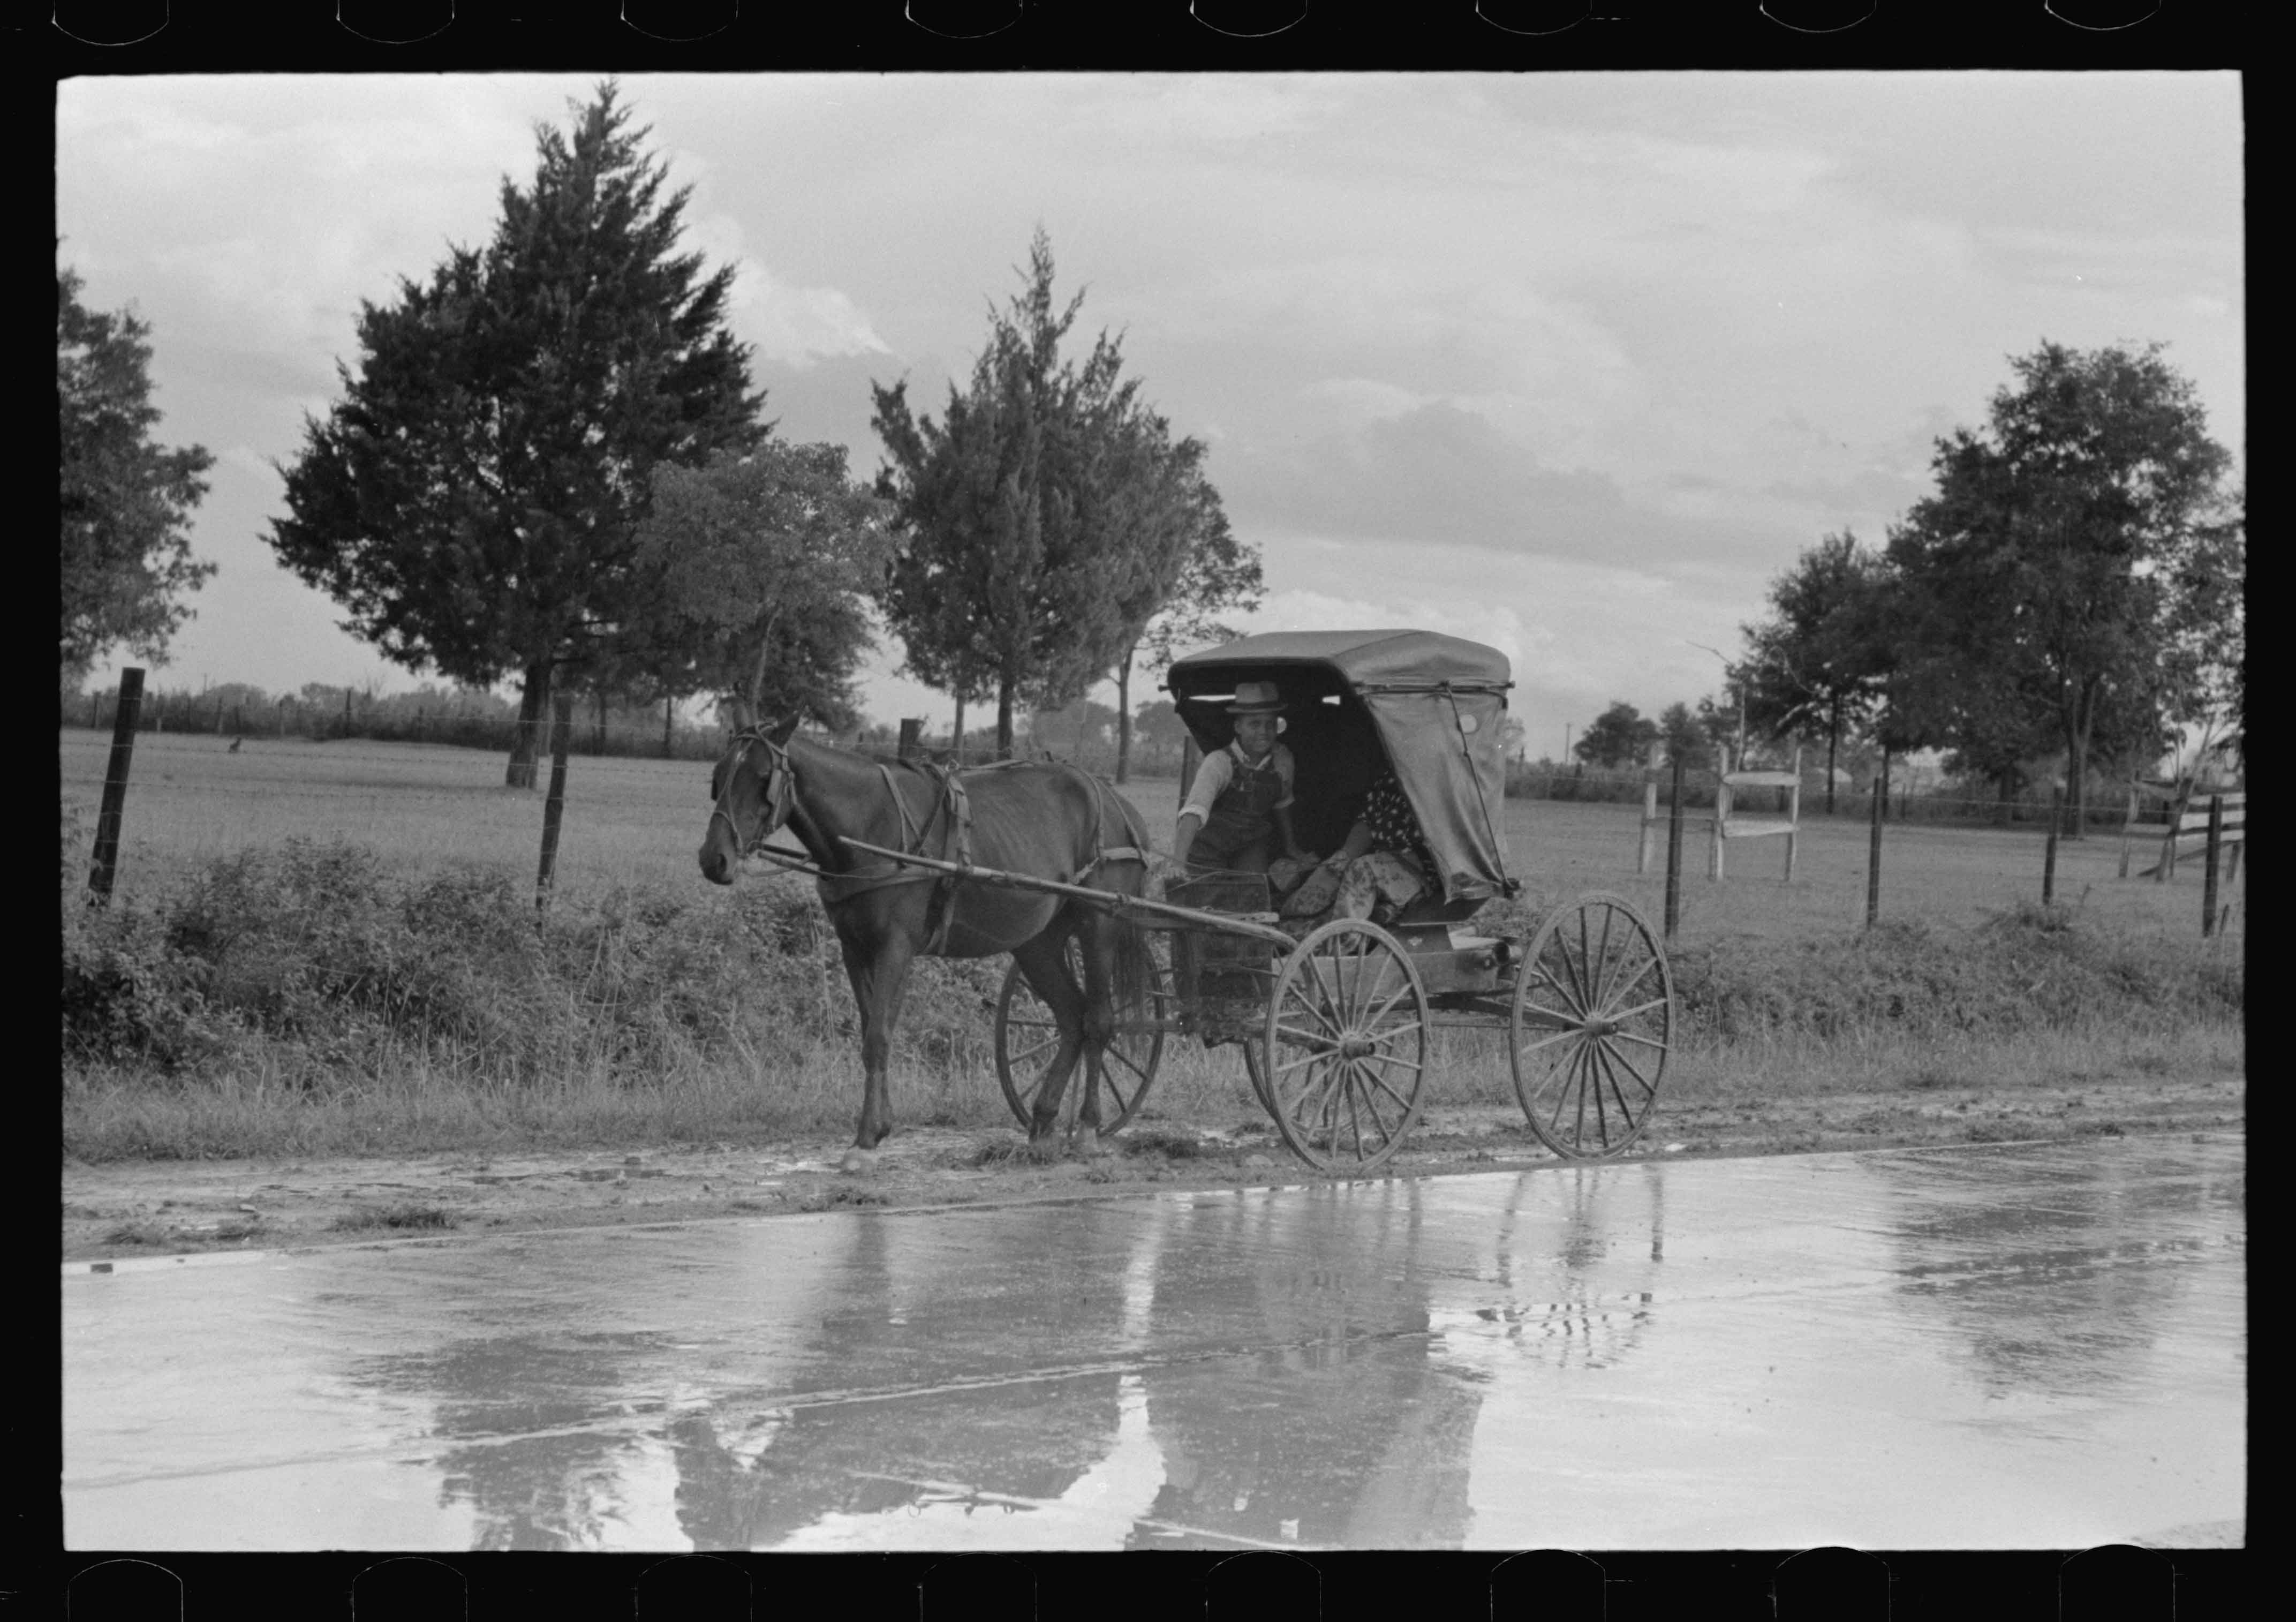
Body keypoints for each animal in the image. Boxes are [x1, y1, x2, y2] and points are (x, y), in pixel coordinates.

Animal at [698, 712, 1157, 1162]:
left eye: (762, 776)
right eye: (718, 776)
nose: (713, 859)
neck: (871, 824)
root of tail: (1119, 805)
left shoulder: (896, 947)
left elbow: (878, 1036)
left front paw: (865, 1139)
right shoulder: (855, 949)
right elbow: (873, 1029)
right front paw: (880, 1127)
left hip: (1099, 927)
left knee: (1098, 1021)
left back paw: (1088, 1127)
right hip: (1038, 942)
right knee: (1071, 1016)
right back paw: (1043, 1122)